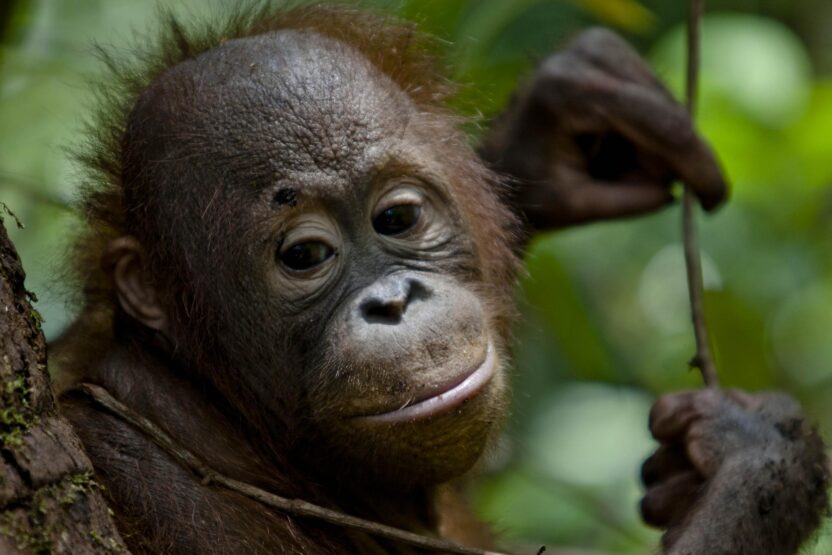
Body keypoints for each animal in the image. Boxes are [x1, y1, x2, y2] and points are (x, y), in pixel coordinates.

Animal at [50, 4, 828, 554]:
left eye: (397, 217)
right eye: (304, 257)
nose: (393, 300)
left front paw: (553, 127)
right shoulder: (153, 474)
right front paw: (760, 458)